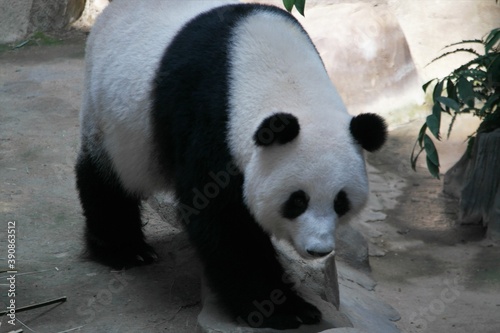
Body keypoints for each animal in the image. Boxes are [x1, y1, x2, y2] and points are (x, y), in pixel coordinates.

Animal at [75, 0, 386, 326]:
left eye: (341, 202)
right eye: (297, 200)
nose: (318, 249)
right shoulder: (210, 118)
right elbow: (222, 219)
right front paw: (282, 309)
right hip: (111, 116)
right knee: (105, 179)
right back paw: (125, 250)